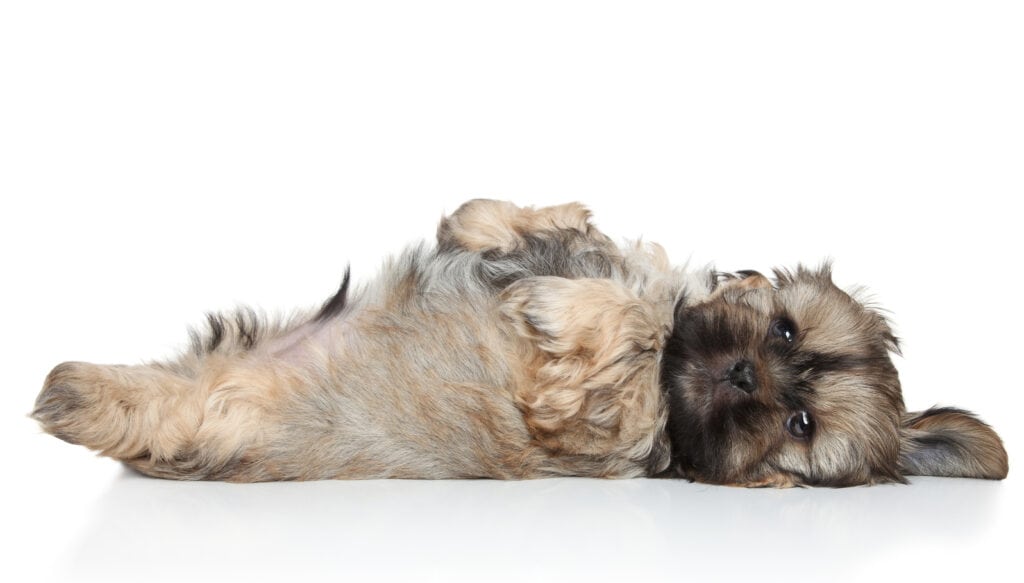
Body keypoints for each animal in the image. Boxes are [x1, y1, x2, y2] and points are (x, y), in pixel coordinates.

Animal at [34, 199, 1007, 485]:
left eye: (800, 425)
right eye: (783, 327)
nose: (743, 371)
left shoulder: (592, 416)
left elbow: (628, 333)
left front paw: (555, 302)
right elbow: (505, 221)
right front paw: (520, 223)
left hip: (221, 418)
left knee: (164, 414)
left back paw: (68, 394)